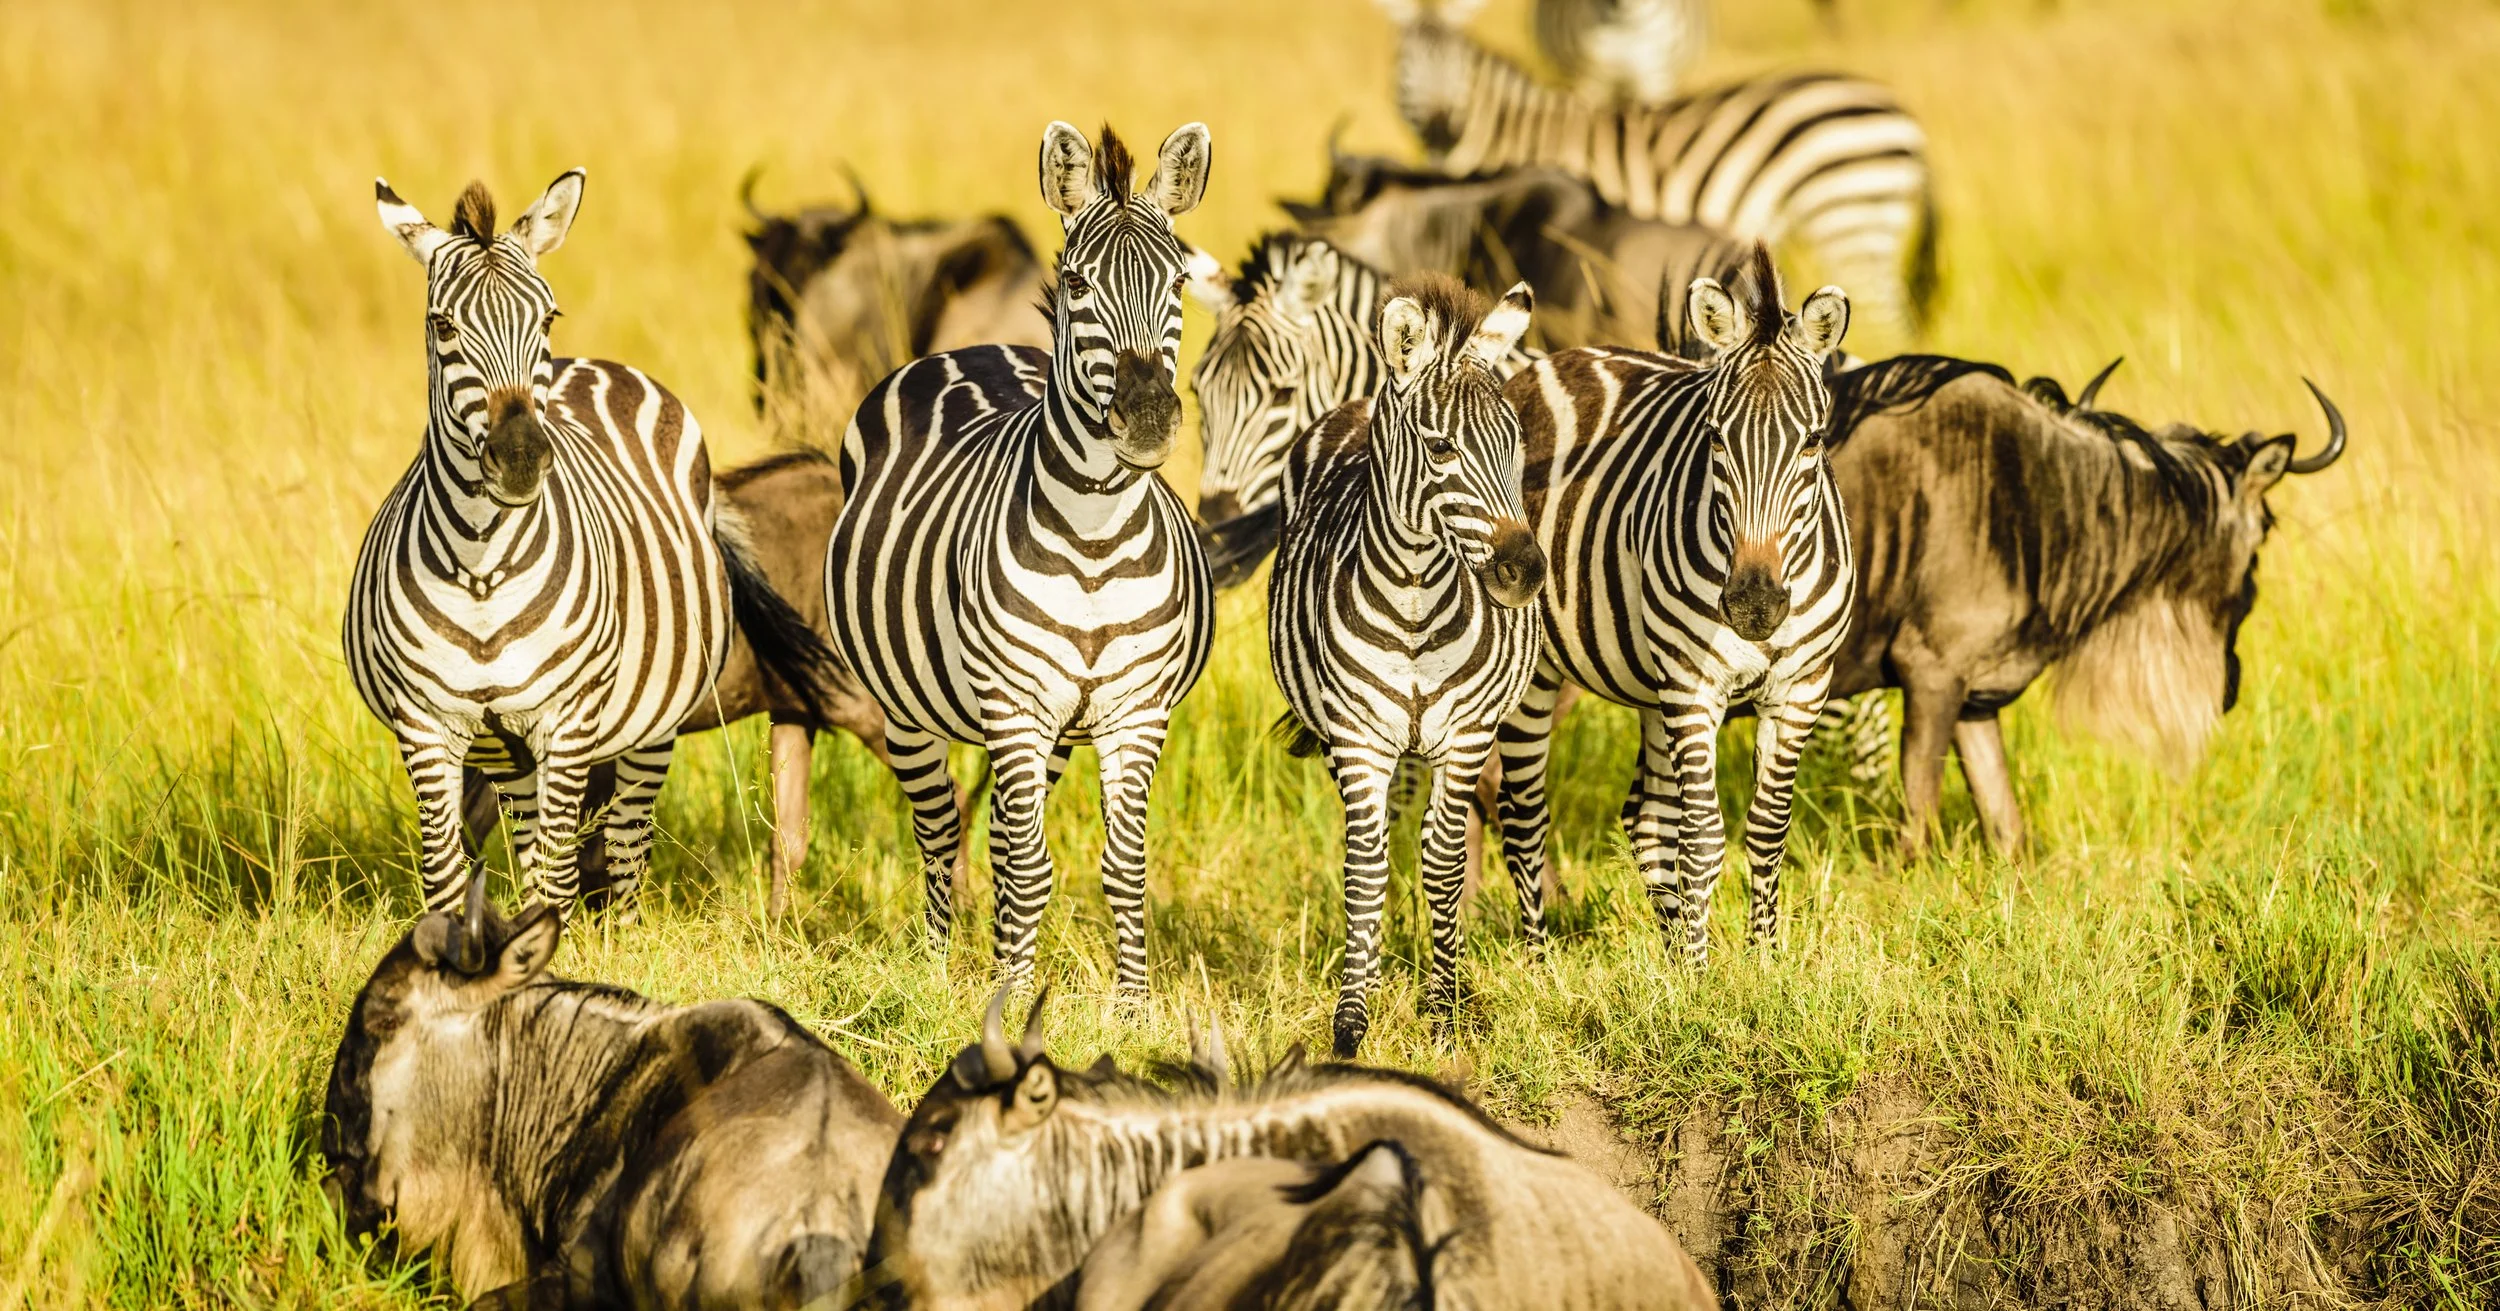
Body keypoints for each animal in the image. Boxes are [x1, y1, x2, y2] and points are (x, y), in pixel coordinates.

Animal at [350, 171, 819, 916]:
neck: (482, 568)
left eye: (547, 318)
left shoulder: (566, 723)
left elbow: (556, 878)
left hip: (650, 722)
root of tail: (594, 365)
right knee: (533, 839)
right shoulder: (425, 726)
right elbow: (449, 877)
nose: (521, 458)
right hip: (507, 750)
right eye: (444, 326)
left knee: (624, 845)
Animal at [823, 123, 1214, 998]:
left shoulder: (1136, 710)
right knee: (940, 828)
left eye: (1179, 280)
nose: (1147, 420)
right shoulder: (1013, 702)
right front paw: (1009, 997)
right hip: (910, 710)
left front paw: (1130, 1006)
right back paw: (938, 966)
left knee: (1002, 833)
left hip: (1060, 729)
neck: (1097, 538)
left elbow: (1121, 866)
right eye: (1075, 281)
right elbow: (1031, 867)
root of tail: (974, 347)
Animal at [1266, 275, 1544, 1057]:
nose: (1526, 573)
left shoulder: (1467, 735)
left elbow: (1445, 862)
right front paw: (1351, 1021)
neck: (1417, 597)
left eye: (1516, 443)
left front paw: (1443, 1011)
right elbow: (1365, 867)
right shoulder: (1359, 738)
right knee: (1381, 837)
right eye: (1442, 447)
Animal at [1495, 244, 1852, 960]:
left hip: (1652, 684)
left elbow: (1767, 830)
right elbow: (1705, 838)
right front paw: (1703, 972)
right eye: (1714, 437)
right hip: (1542, 674)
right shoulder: (1693, 682)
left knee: (1646, 818)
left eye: (1814, 441)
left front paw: (1762, 960)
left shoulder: (1802, 687)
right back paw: (1539, 960)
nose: (1753, 606)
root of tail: (1546, 363)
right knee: (1525, 819)